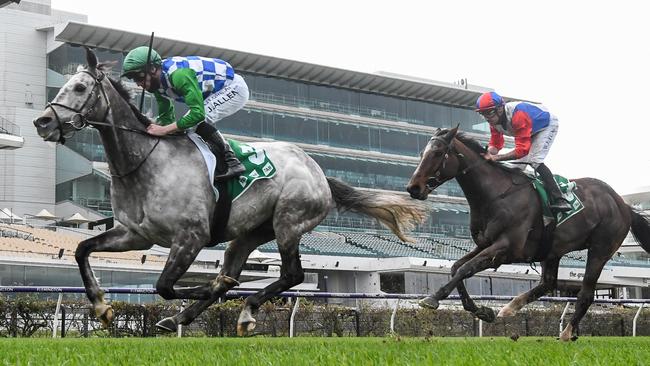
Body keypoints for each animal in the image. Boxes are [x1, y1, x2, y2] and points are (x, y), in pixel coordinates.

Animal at [33, 48, 426, 334]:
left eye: (79, 88)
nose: (43, 122)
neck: (146, 162)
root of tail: (318, 172)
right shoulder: (135, 234)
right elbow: (82, 250)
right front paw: (102, 307)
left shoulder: (190, 236)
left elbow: (164, 286)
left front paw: (211, 286)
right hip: (248, 234)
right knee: (247, 267)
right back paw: (184, 317)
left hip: (289, 222)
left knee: (293, 275)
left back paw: (244, 310)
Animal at [404, 127, 648, 342]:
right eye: (422, 153)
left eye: (437, 153)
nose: (413, 187)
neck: (495, 195)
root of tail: (623, 204)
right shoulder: (484, 244)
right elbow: (456, 268)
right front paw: (482, 311)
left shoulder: (506, 248)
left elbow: (465, 269)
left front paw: (432, 298)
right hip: (553, 250)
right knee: (548, 283)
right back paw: (510, 307)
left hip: (600, 249)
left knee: (585, 294)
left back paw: (566, 333)